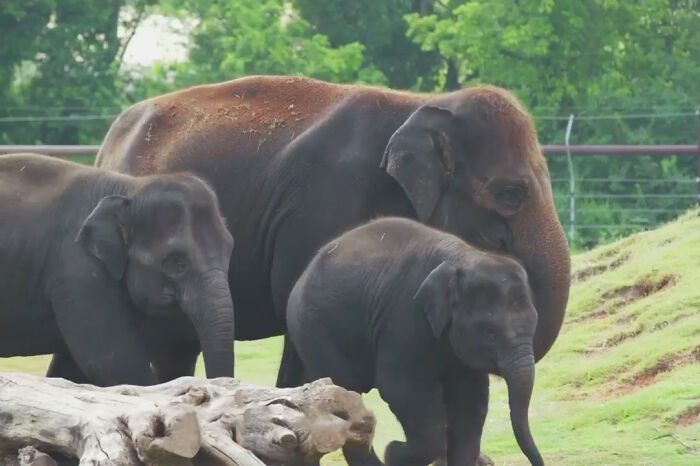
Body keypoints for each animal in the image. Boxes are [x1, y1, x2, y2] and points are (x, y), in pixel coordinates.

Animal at [0, 153, 235, 386]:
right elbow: (113, 362)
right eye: (177, 262)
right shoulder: (78, 268)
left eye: (230, 249)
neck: (130, 188)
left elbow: (71, 369)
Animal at [282, 217, 543, 466]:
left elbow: (470, 399)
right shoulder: (405, 319)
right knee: (345, 394)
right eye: (490, 332)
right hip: (317, 331)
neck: (464, 256)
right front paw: (393, 453)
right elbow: (402, 389)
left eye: (534, 324)